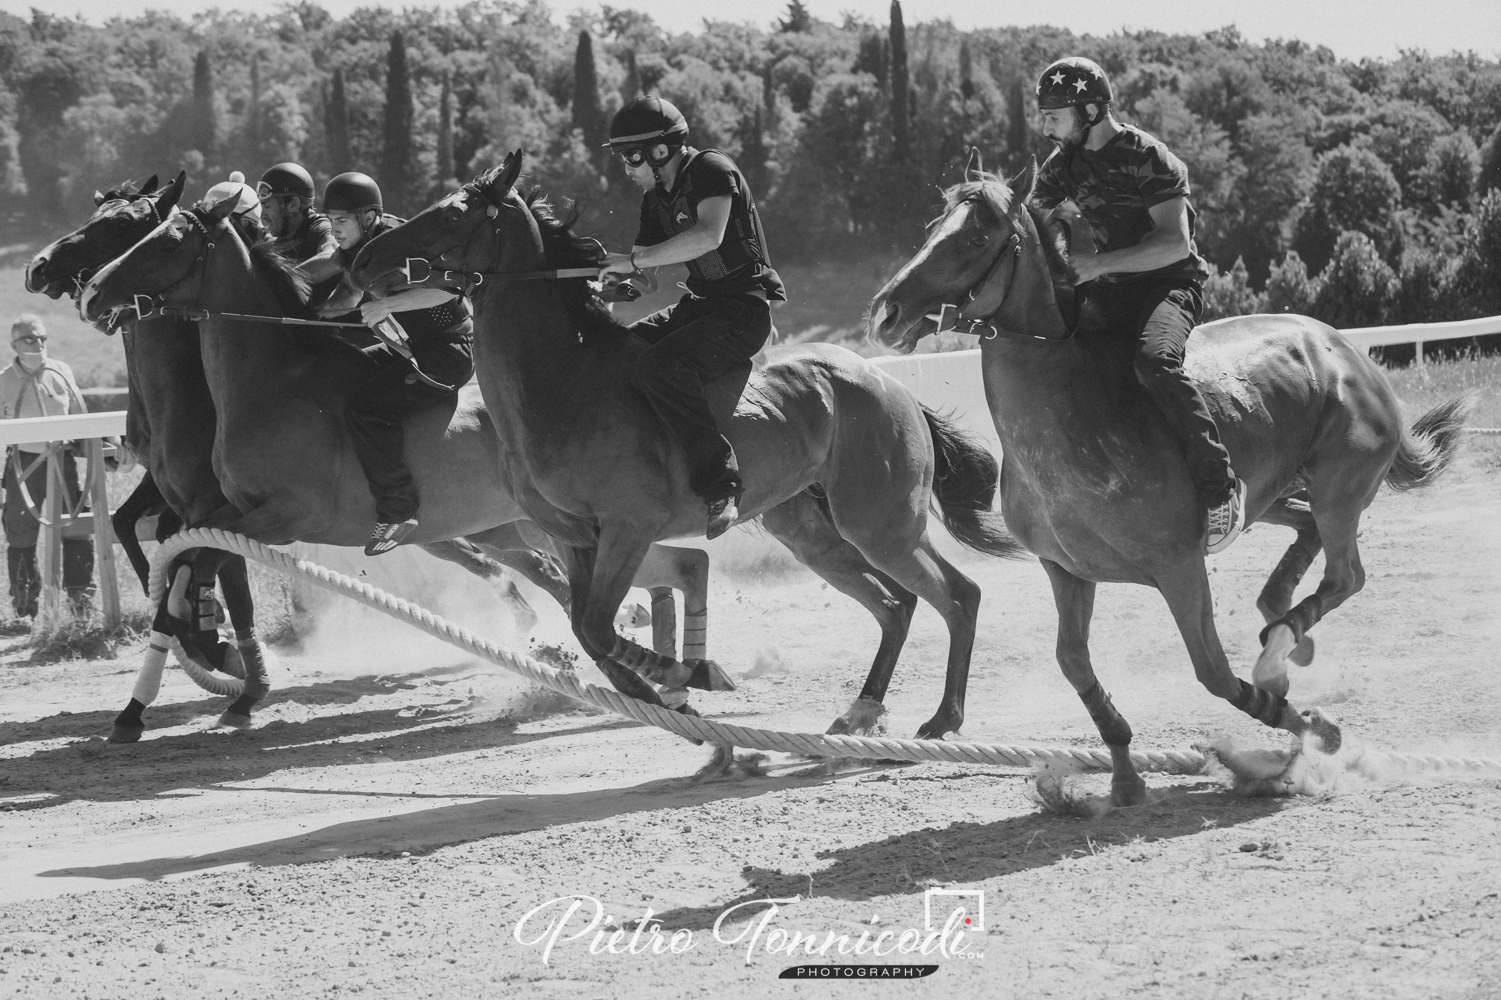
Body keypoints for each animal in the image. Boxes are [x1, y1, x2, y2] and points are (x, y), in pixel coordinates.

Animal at [73, 189, 717, 723]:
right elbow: (184, 565)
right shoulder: (223, 513)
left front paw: (212, 673)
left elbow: (198, 565)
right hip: (503, 527)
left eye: (163, 240)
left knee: (574, 583)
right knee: (561, 583)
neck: (273, 382)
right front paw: (175, 684)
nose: (92, 292)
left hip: (528, 524)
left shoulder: (282, 518)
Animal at [345, 151, 1026, 735]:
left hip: (880, 522)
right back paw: (862, 709)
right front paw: (671, 681)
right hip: (812, 533)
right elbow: (584, 626)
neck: (561, 380)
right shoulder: (575, 539)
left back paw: (944, 717)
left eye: (453, 211)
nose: (363, 260)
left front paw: (687, 672)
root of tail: (886, 383)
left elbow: (599, 627)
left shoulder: (628, 528)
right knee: (895, 606)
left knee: (958, 596)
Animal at [870, 156, 1464, 804]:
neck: (1070, 411)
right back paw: (1283, 631)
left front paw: (1313, 729)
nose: (886, 312)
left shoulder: (1180, 569)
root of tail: (1346, 352)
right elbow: (1073, 662)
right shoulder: (1065, 571)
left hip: (1340, 490)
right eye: (933, 227)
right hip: (1272, 496)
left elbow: (1214, 674)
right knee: (1306, 542)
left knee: (1345, 575)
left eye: (977, 237)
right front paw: (1125, 777)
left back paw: (1278, 653)